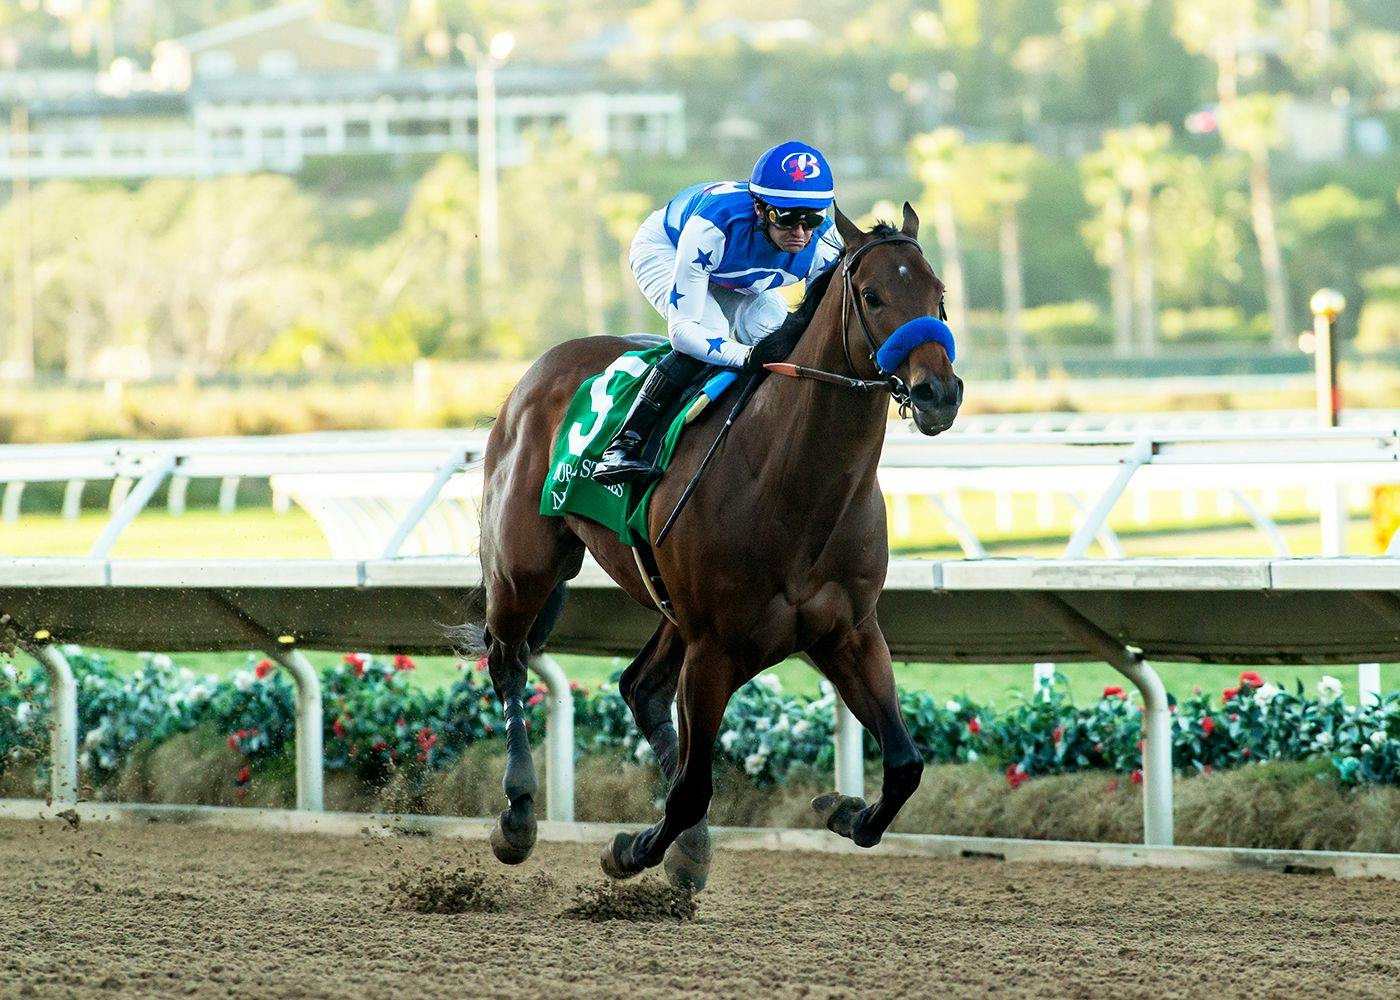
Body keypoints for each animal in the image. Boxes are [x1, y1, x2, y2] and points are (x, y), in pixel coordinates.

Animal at [470, 204, 963, 890]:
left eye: (938, 293)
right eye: (872, 295)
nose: (938, 393)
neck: (791, 484)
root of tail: (536, 372)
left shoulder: (849, 632)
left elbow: (904, 765)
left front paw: (841, 810)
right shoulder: (714, 648)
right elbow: (690, 790)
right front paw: (630, 849)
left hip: (669, 603)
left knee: (639, 687)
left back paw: (690, 843)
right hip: (525, 567)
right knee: (509, 660)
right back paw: (518, 814)